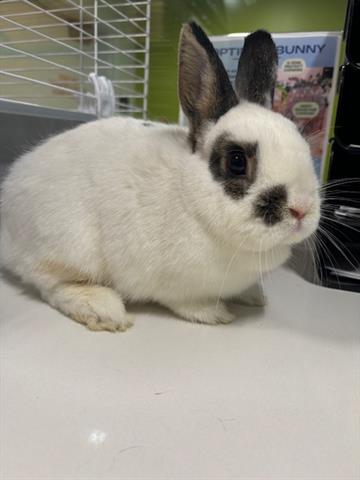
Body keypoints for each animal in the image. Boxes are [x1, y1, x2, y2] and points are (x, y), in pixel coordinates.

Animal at [0, 22, 320, 330]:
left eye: (303, 142)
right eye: (237, 161)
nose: (301, 210)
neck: (191, 199)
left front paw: (254, 296)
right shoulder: (175, 284)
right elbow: (189, 303)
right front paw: (215, 314)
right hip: (68, 246)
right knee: (49, 282)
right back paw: (102, 310)